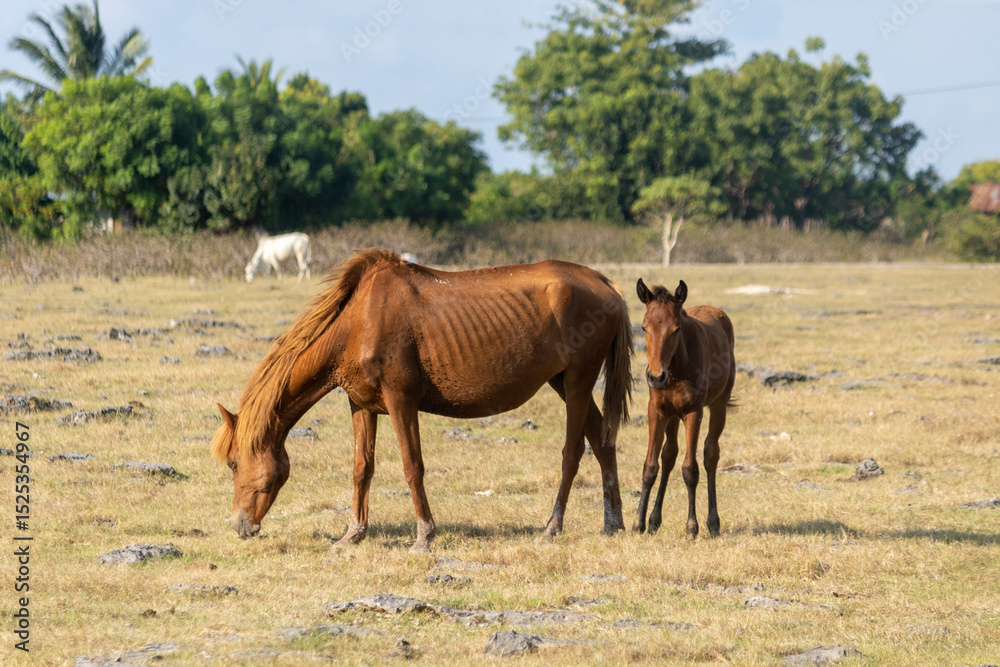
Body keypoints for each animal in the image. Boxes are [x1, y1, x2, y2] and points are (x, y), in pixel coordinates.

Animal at [212, 248, 633, 552]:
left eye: (233, 463)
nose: (239, 525)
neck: (359, 320)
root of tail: (606, 284)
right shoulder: (361, 405)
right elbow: (362, 468)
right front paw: (353, 534)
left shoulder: (401, 401)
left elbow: (412, 467)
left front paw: (424, 536)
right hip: (563, 383)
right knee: (603, 441)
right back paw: (613, 524)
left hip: (578, 383)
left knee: (573, 452)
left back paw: (551, 527)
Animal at [632, 278, 735, 539]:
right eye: (644, 327)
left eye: (676, 329)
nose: (655, 376)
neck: (675, 371)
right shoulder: (657, 411)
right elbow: (650, 467)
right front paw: (638, 524)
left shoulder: (693, 412)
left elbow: (690, 469)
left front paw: (691, 527)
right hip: (672, 417)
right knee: (669, 455)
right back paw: (654, 520)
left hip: (718, 405)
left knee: (711, 455)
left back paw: (713, 523)